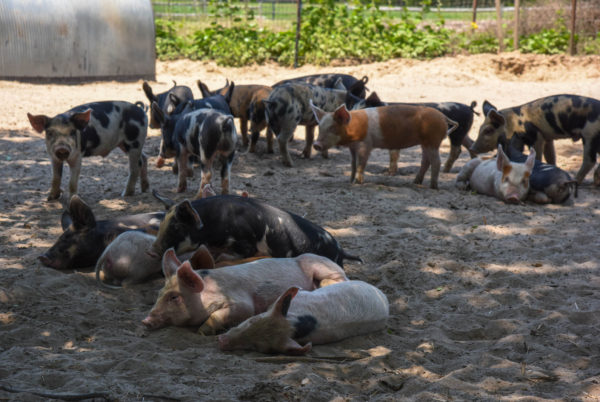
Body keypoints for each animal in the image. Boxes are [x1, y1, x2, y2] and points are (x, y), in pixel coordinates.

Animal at [141, 250, 346, 334]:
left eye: (174, 297)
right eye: (159, 294)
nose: (145, 321)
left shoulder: (242, 304)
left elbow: (224, 314)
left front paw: (201, 332)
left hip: (320, 266)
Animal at [149, 191, 360, 268]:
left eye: (177, 226)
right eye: (162, 224)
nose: (152, 251)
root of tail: (341, 250)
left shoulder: (245, 242)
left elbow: (237, 254)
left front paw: (220, 258)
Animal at [312, 101, 458, 188]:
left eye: (332, 128)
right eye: (320, 127)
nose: (316, 145)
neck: (352, 130)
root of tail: (443, 117)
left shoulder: (366, 144)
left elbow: (361, 163)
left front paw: (359, 183)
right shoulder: (352, 148)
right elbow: (353, 164)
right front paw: (350, 181)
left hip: (433, 141)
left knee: (436, 162)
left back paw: (433, 187)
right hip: (425, 143)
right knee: (425, 161)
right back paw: (415, 183)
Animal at [472, 94, 600, 184]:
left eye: (488, 130)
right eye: (480, 128)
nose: (472, 148)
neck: (513, 123)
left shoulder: (536, 136)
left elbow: (537, 155)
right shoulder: (547, 138)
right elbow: (550, 156)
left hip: (590, 135)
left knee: (590, 160)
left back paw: (576, 181)